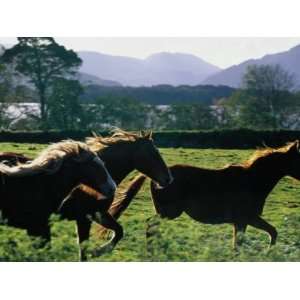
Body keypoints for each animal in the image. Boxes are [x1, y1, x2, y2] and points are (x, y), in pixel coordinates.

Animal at [108, 141, 300, 248]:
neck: (252, 180)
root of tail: (157, 177)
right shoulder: (246, 219)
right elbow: (265, 235)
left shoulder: (244, 221)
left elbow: (268, 234)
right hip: (169, 212)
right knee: (150, 225)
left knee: (153, 227)